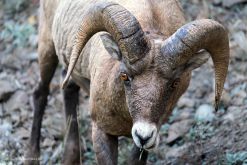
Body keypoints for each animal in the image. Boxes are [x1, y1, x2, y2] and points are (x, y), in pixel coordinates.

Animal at [25, 0, 230, 164]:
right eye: (125, 76)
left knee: (68, 88)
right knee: (40, 93)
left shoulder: (147, 140)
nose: (143, 135)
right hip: (47, 47)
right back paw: (31, 158)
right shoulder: (102, 133)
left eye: (174, 83)